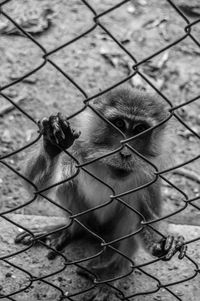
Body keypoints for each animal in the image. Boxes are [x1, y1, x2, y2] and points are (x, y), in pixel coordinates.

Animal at [14, 85, 187, 298]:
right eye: (119, 123)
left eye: (140, 129)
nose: (125, 153)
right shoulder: (79, 149)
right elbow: (38, 189)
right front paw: (53, 144)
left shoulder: (149, 175)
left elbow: (147, 217)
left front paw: (163, 244)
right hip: (90, 220)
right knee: (70, 187)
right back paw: (72, 229)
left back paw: (114, 270)